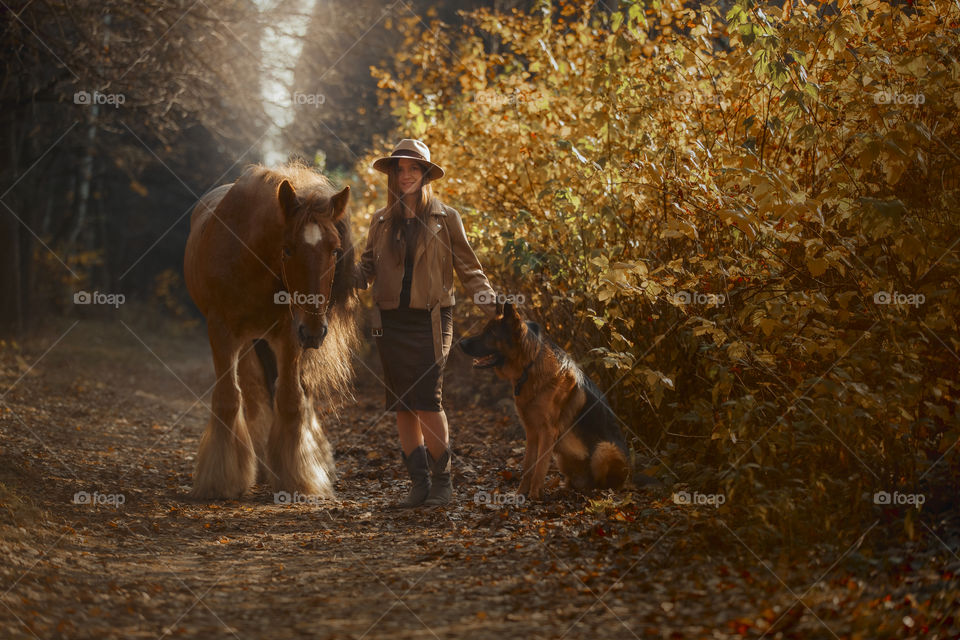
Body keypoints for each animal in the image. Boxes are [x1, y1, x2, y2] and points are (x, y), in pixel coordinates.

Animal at [184, 161, 356, 500]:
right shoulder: (222, 333)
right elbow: (228, 399)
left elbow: (291, 399)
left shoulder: (288, 335)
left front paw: (299, 477)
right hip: (249, 342)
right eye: (287, 250)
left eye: (334, 250)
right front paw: (220, 479)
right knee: (253, 398)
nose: (314, 330)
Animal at [460, 302, 632, 498]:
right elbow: (528, 466)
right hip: (563, 458)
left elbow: (540, 467)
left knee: (605, 484)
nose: (460, 343)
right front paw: (520, 494)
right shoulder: (531, 432)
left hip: (604, 450)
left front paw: (534, 496)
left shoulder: (547, 432)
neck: (530, 366)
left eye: (490, 333)